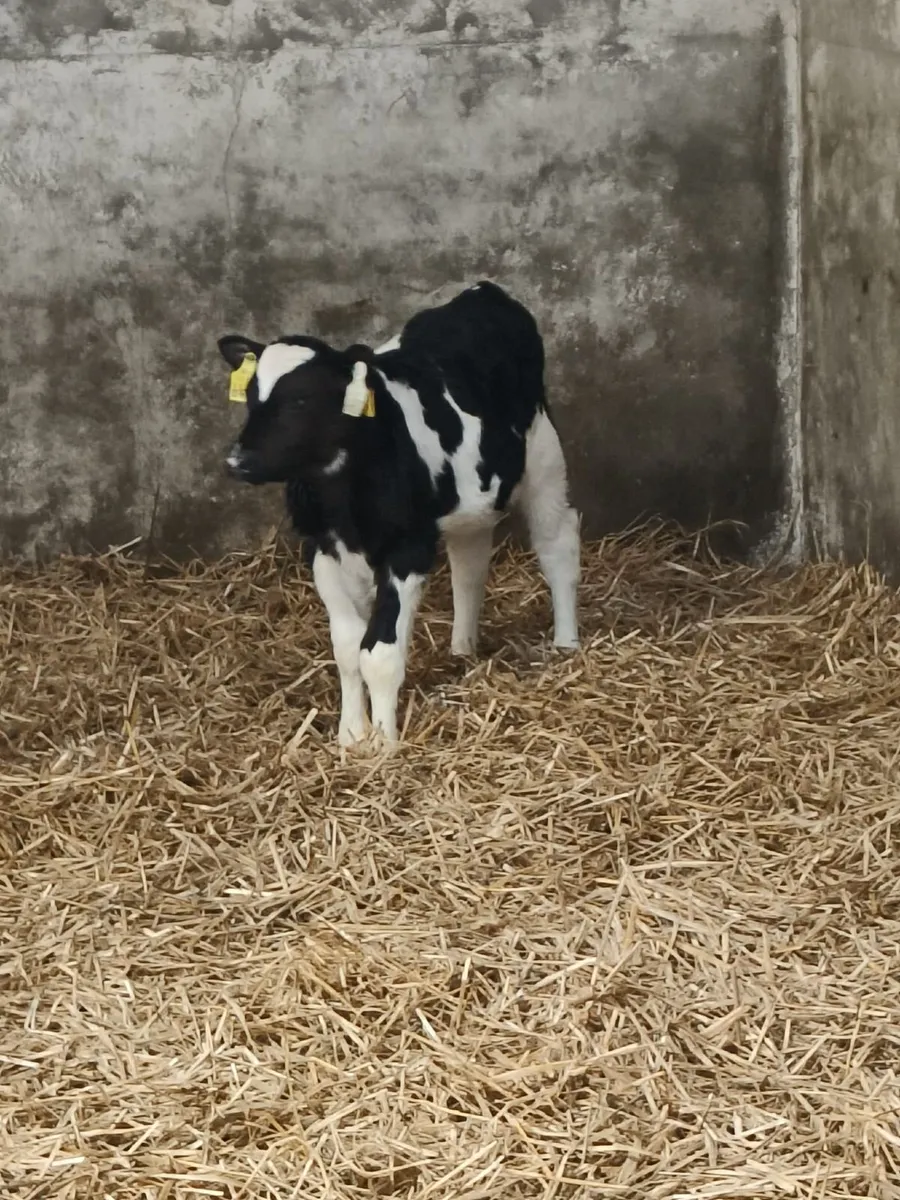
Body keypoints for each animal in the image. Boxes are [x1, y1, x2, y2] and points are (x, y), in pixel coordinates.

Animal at [218, 281, 580, 747]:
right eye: (249, 397)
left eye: (301, 398)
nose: (237, 461)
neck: (342, 500)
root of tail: (483, 291)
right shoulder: (323, 550)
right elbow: (347, 647)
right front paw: (351, 734)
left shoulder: (406, 549)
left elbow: (379, 654)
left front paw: (384, 742)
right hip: (471, 498)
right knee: (470, 564)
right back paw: (462, 648)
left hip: (543, 456)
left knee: (557, 546)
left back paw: (566, 642)